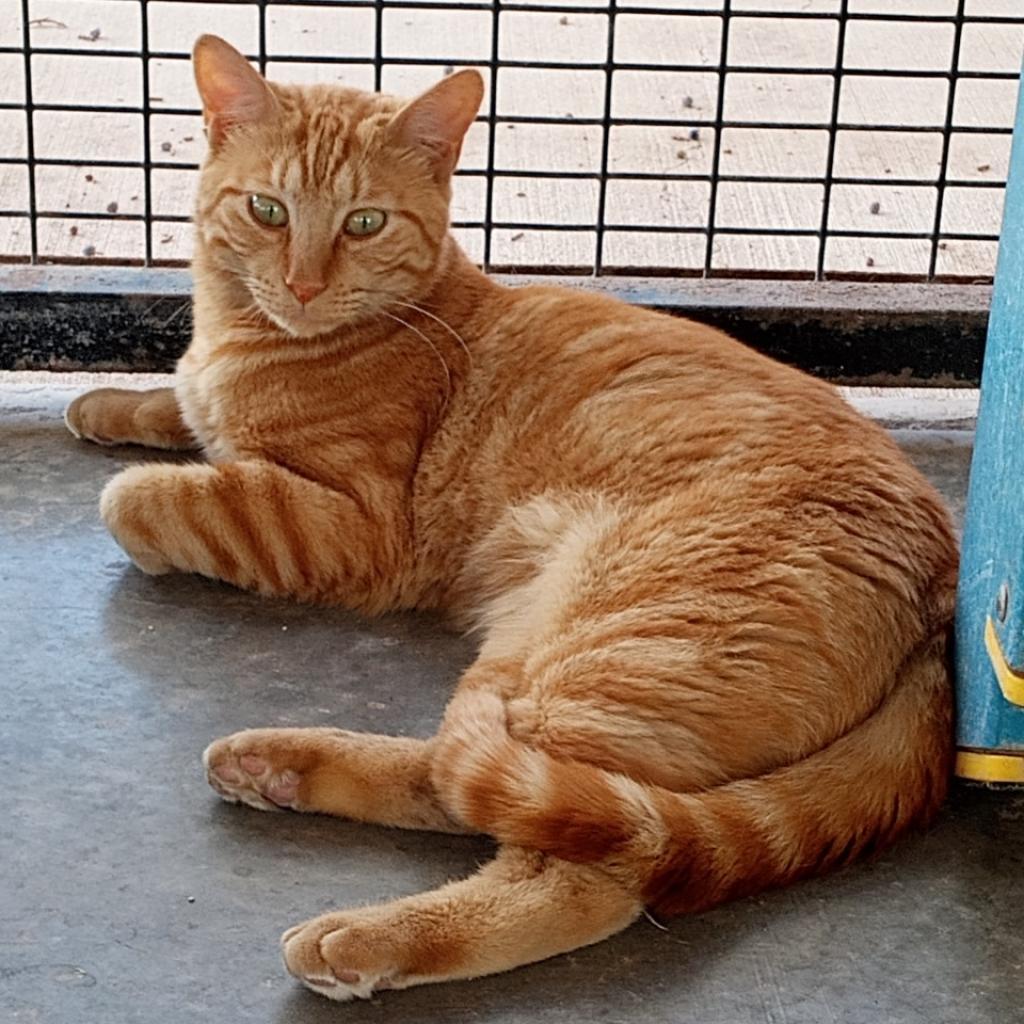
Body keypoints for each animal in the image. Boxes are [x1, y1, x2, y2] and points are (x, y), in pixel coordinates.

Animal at [66, 34, 958, 999]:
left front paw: (149, 473)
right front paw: (114, 403)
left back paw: (366, 936)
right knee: (470, 783)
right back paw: (281, 765)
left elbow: (144, 496)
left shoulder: (347, 527)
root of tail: (941, 594)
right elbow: (182, 406)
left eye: (364, 224)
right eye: (267, 210)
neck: (248, 335)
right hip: (535, 654)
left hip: (606, 651)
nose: (302, 284)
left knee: (581, 867)